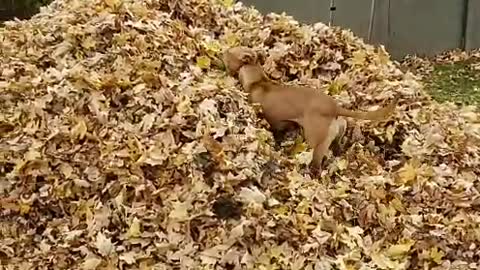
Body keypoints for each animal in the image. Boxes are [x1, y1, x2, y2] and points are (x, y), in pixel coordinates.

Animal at [221, 46, 398, 174]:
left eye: (229, 53)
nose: (222, 51)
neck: (257, 81)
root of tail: (335, 108)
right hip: (335, 137)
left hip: (315, 142)